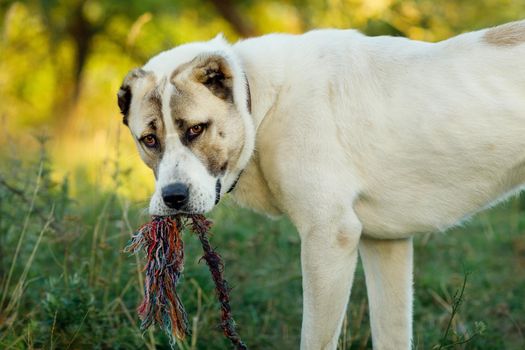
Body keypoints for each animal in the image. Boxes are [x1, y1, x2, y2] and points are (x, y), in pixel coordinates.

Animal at [118, 19, 524, 350]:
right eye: (149, 140)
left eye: (195, 129)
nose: (174, 197)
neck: (261, 103)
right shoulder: (386, 244)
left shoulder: (329, 238)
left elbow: (315, 338)